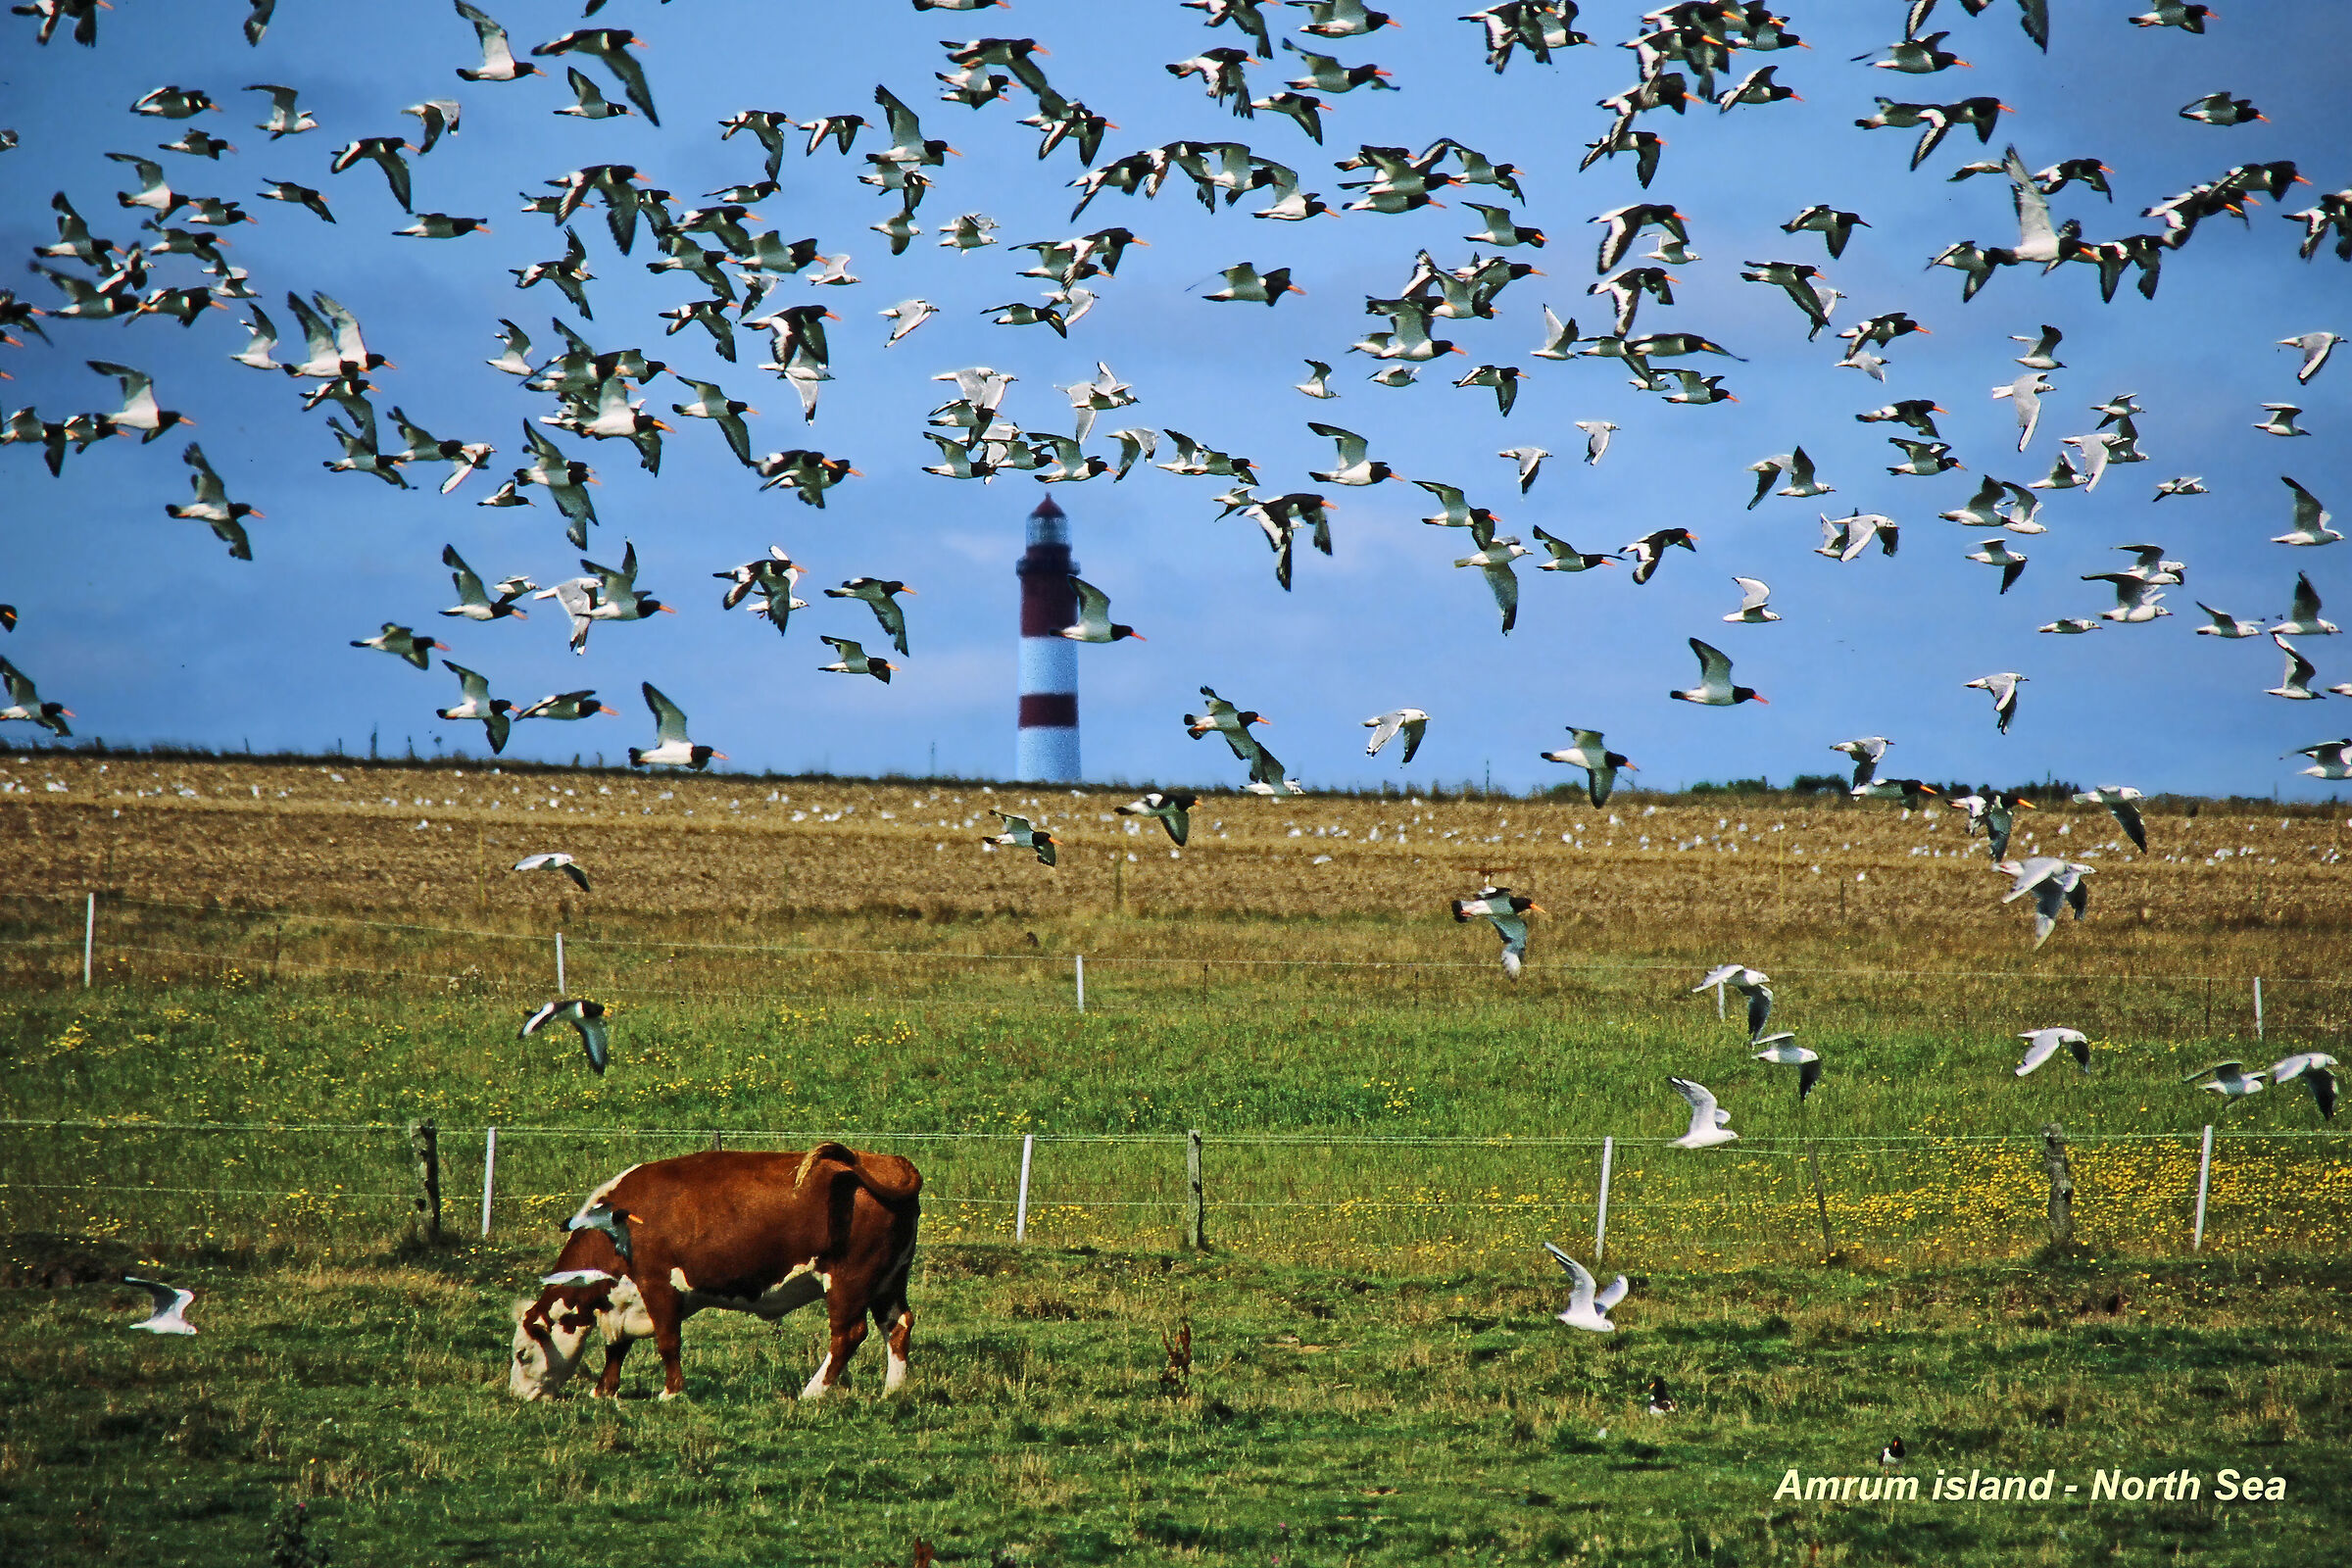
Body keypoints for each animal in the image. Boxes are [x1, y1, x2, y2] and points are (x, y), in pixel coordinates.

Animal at [508, 1144, 921, 1402]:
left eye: (522, 1354)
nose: (517, 1397)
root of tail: (886, 1162)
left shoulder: (658, 1285)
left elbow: (667, 1341)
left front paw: (671, 1392)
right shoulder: (620, 1303)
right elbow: (617, 1346)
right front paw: (603, 1391)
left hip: (849, 1281)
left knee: (847, 1334)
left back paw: (813, 1391)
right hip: (888, 1280)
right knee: (897, 1324)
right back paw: (893, 1390)